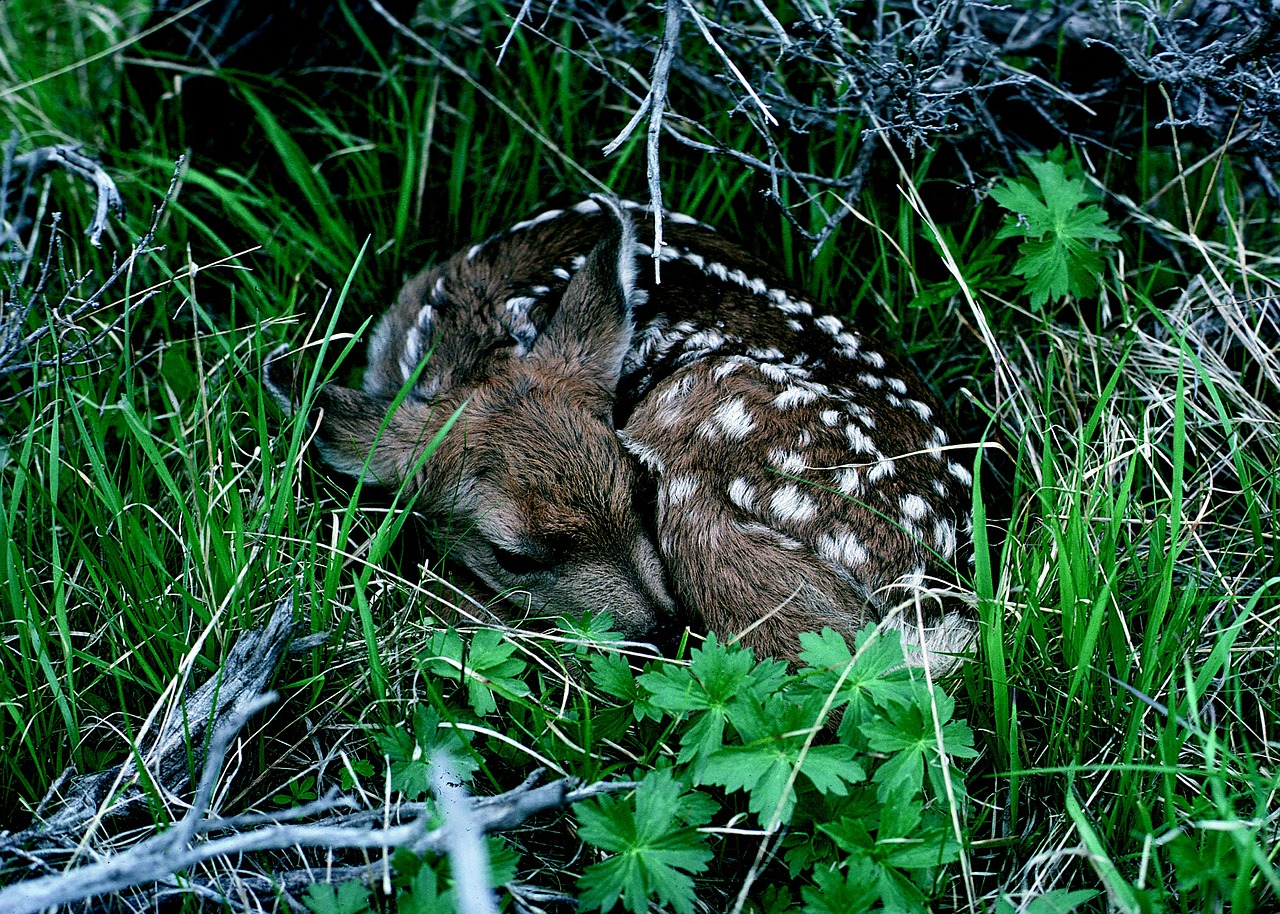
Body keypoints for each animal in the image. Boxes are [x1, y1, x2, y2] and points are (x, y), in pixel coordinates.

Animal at [264, 195, 972, 660]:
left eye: (639, 491)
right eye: (511, 555)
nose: (662, 629)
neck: (472, 339)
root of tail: (926, 585)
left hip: (702, 409)